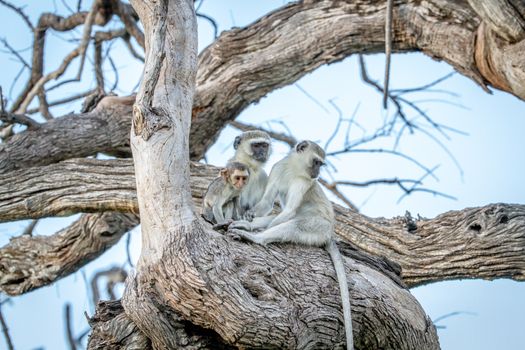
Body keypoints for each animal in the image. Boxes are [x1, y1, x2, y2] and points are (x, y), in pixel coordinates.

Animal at [228, 140, 352, 350]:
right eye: (317, 162)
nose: (317, 173)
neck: (294, 168)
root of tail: (329, 233)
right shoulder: (277, 168)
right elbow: (267, 202)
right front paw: (248, 218)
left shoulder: (303, 182)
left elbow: (290, 211)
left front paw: (255, 231)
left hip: (318, 228)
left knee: (294, 223)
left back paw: (257, 238)